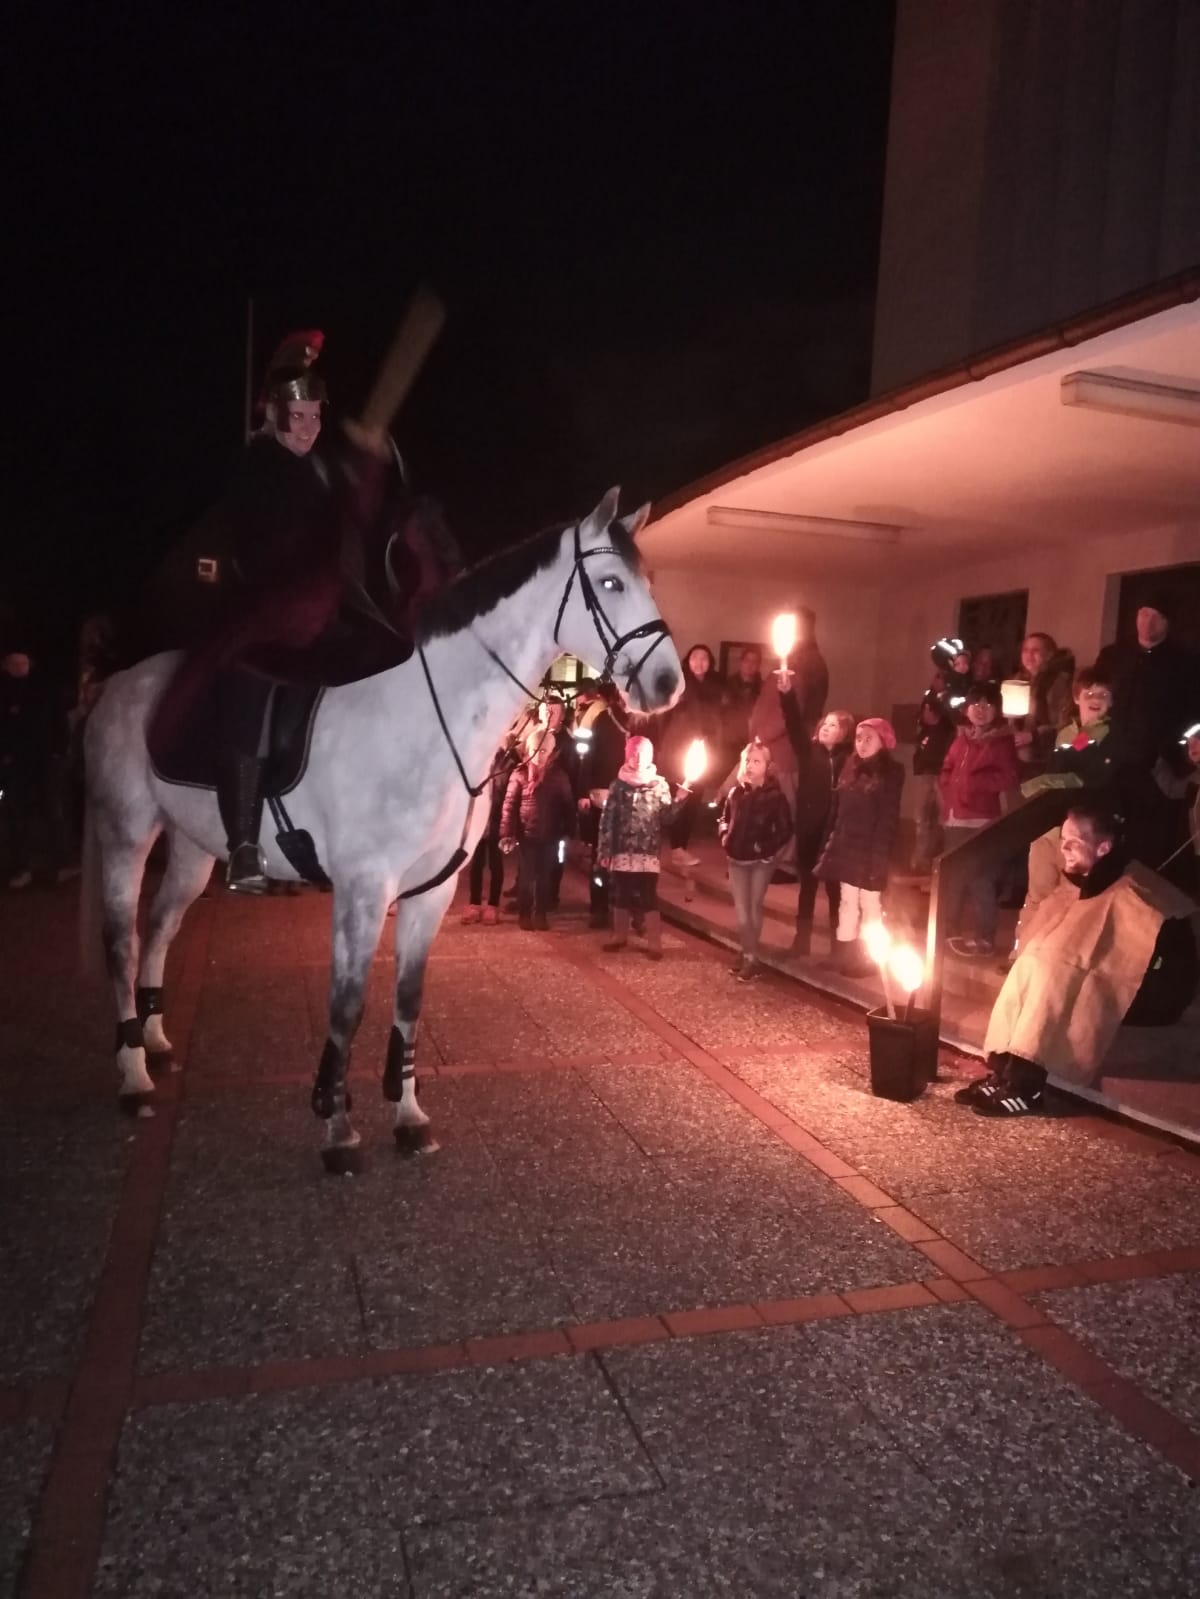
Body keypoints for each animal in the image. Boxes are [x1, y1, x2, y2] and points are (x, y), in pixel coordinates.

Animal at [82, 492, 684, 1170]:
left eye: (648, 581)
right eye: (610, 582)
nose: (669, 683)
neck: (429, 722)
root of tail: (118, 686)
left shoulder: (432, 893)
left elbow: (408, 1000)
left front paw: (408, 1116)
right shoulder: (364, 892)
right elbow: (347, 1006)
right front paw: (337, 1126)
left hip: (191, 848)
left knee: (161, 926)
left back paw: (156, 1039)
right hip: (127, 832)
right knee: (123, 941)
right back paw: (133, 1074)